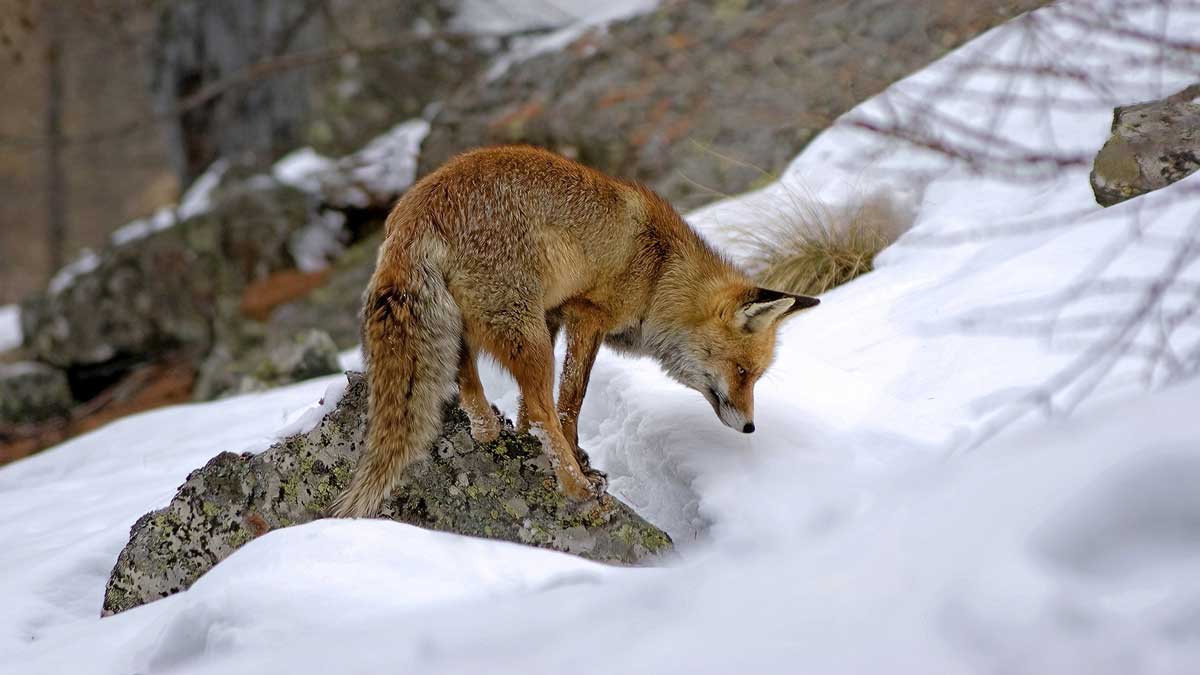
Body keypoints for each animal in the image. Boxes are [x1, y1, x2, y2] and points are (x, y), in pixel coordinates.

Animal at [331, 145, 816, 514]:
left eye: (754, 376)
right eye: (742, 372)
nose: (751, 427)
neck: (661, 273)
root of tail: (413, 213)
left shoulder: (553, 314)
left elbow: (533, 409)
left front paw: (525, 437)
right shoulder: (587, 314)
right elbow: (569, 402)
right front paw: (577, 462)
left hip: (482, 324)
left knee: (466, 376)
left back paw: (487, 428)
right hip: (526, 335)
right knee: (542, 404)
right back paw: (576, 489)